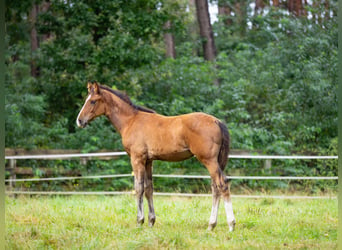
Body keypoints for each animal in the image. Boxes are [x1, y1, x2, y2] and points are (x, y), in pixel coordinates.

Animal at [76, 81, 235, 230]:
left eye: (93, 101)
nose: (79, 120)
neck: (131, 120)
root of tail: (216, 121)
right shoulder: (148, 161)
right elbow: (149, 189)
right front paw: (151, 221)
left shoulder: (137, 159)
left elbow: (139, 188)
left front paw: (139, 221)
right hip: (215, 161)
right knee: (215, 187)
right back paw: (211, 225)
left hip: (208, 160)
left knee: (222, 184)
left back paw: (230, 224)